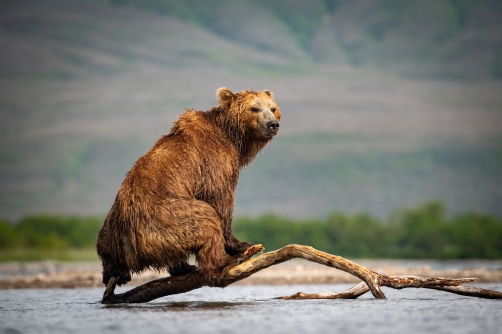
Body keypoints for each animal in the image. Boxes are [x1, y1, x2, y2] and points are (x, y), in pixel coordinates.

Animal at [96, 87, 280, 286]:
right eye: (254, 108)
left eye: (273, 108)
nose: (273, 124)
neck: (232, 137)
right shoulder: (213, 161)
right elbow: (219, 200)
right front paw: (240, 245)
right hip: (168, 217)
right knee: (205, 218)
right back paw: (225, 262)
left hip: (113, 228)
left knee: (105, 247)